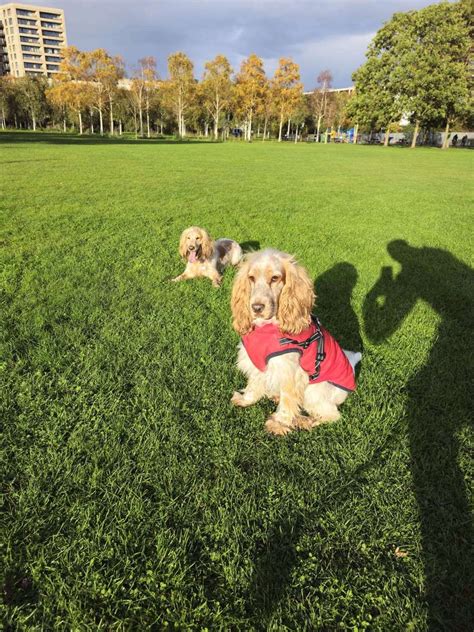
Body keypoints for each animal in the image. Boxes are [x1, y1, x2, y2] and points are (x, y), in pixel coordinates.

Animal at [231, 249, 362, 436]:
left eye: (275, 278)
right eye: (251, 278)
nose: (256, 308)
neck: (267, 328)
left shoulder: (291, 371)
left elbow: (287, 401)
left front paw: (279, 424)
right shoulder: (257, 361)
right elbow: (254, 385)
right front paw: (244, 400)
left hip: (314, 391)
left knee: (332, 415)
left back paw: (305, 421)